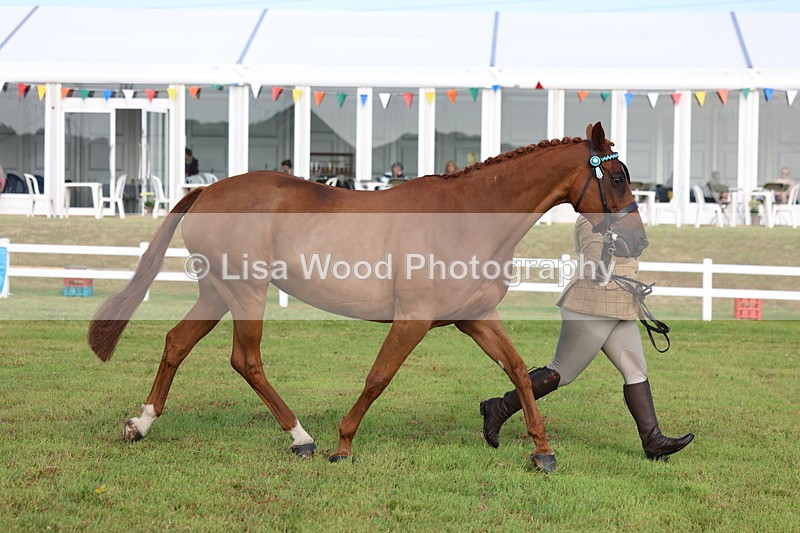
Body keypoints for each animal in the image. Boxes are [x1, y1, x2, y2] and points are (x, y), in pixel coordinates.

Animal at [88, 123, 646, 473]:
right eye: (618, 177)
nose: (637, 241)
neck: (469, 218)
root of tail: (207, 191)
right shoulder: (413, 320)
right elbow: (379, 377)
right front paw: (343, 445)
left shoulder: (476, 316)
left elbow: (520, 372)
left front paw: (542, 451)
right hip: (246, 292)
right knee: (245, 360)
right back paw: (302, 439)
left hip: (217, 293)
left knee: (177, 342)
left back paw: (141, 424)